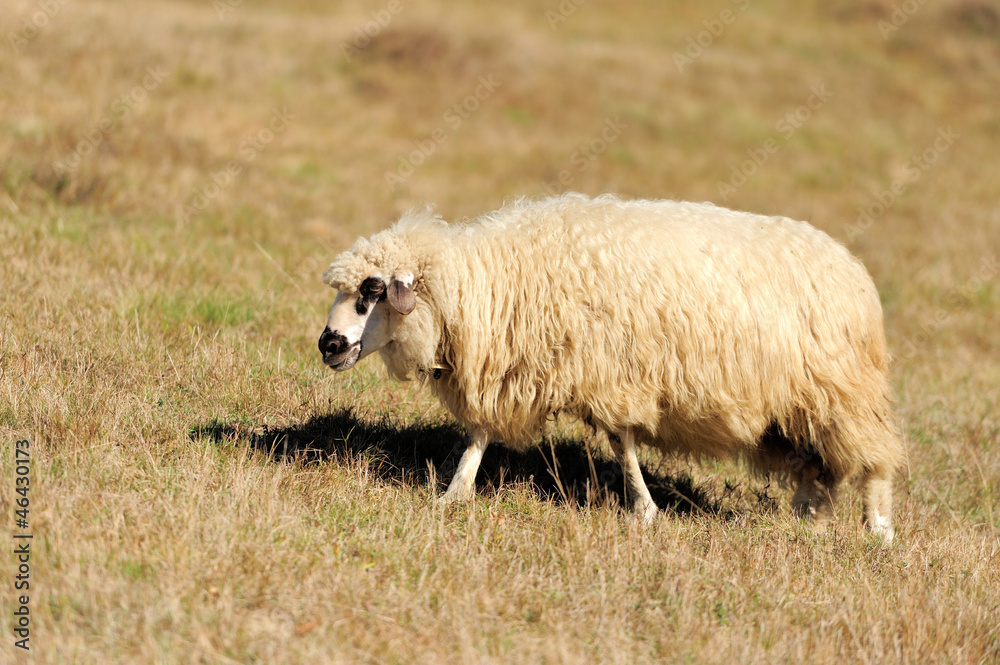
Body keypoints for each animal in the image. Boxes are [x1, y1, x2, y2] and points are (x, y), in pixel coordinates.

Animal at [318, 192, 908, 540]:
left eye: (372, 291)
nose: (328, 344)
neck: (489, 284)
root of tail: (852, 267)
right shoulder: (518, 366)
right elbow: (480, 435)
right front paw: (455, 493)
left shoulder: (612, 375)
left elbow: (623, 443)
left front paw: (643, 510)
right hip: (798, 408)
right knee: (815, 464)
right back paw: (808, 520)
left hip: (846, 392)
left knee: (875, 461)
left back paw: (878, 531)